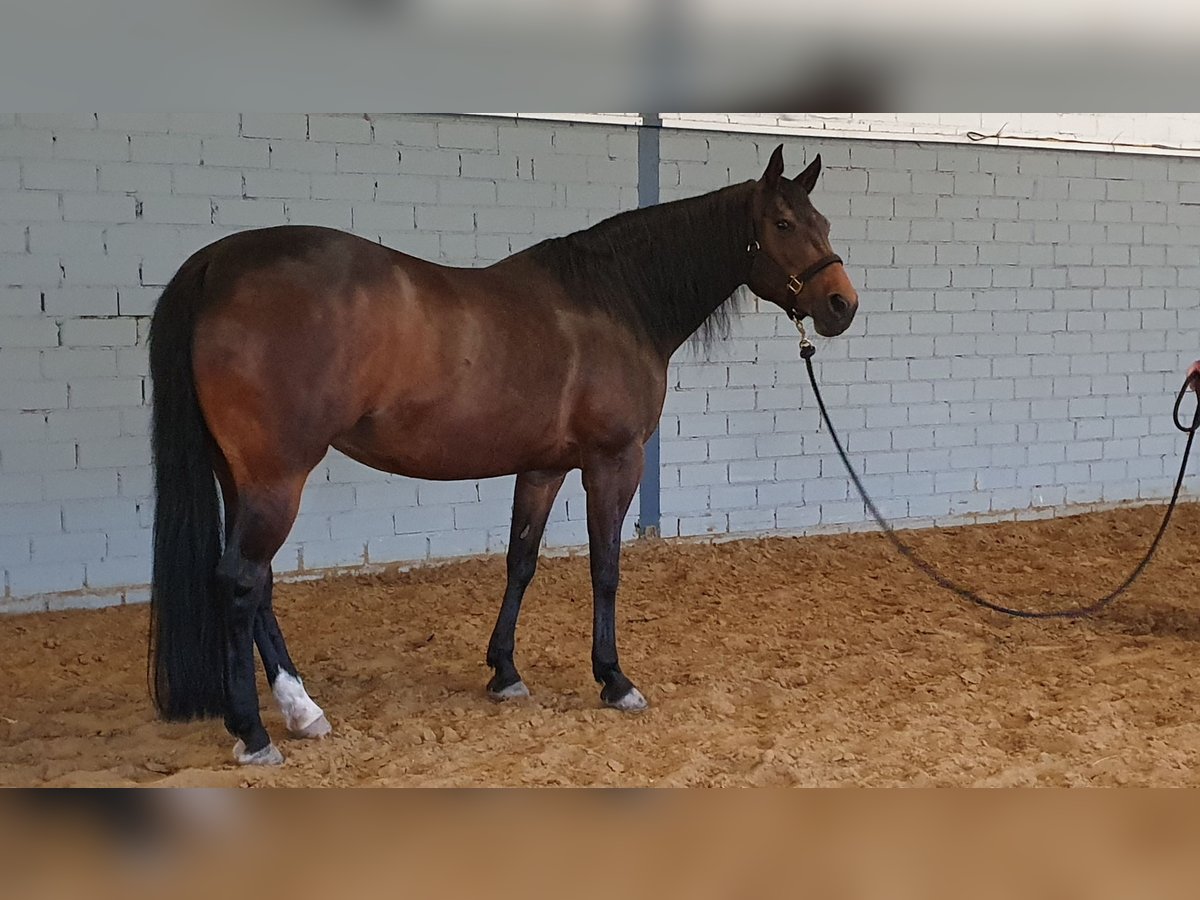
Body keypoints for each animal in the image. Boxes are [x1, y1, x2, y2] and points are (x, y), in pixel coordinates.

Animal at [150, 144, 859, 763]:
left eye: (823, 222)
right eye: (783, 222)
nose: (841, 306)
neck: (617, 299)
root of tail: (217, 261)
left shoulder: (541, 466)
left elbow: (521, 562)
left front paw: (505, 672)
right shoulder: (613, 462)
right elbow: (605, 568)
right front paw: (614, 679)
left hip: (244, 477)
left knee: (260, 586)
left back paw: (302, 711)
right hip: (278, 477)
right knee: (241, 583)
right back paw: (254, 732)